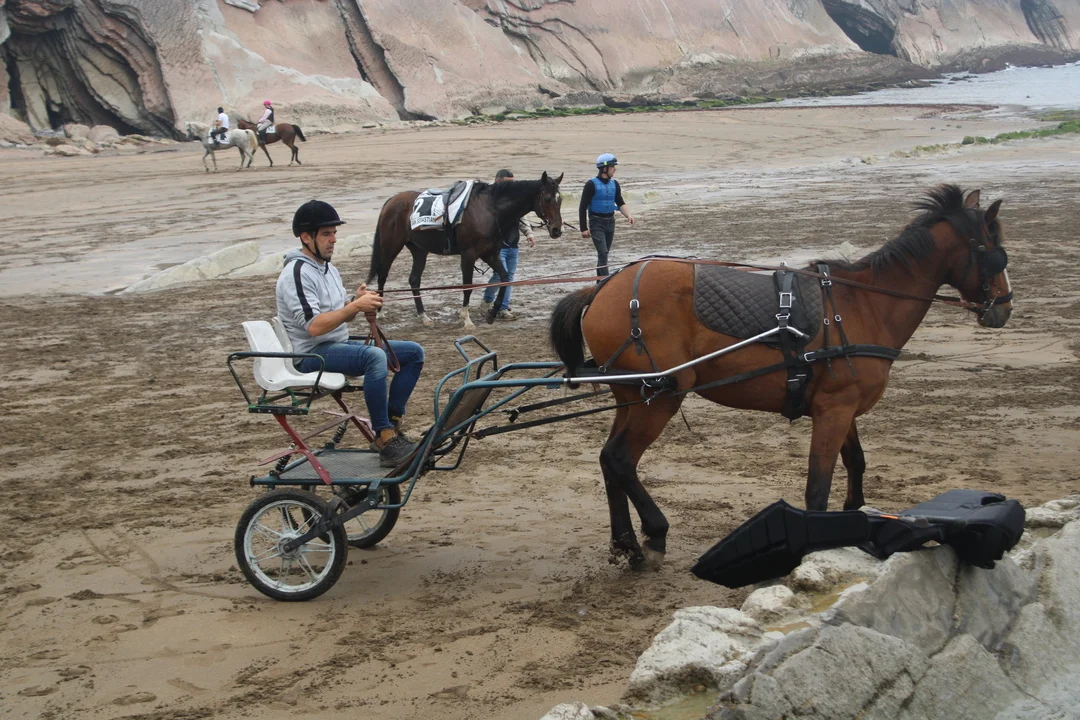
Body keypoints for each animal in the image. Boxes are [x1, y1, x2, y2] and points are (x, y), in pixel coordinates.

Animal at [367, 172, 565, 327]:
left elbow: (504, 278)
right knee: (382, 275)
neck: (488, 209)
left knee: (414, 280)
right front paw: (466, 319)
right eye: (547, 199)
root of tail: (391, 201)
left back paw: (424, 317)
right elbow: (467, 286)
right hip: (390, 247)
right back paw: (380, 311)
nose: (557, 230)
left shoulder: (490, 254)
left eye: (560, 199)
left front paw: (492, 313)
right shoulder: (468, 255)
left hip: (419, 250)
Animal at [549, 185, 1013, 571]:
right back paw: (653, 533)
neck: (862, 304)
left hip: (633, 395)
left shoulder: (841, 407)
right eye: (994, 252)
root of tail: (602, 289)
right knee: (621, 460)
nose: (1005, 306)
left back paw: (625, 542)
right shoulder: (834, 410)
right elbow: (817, 487)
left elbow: (856, 463)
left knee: (608, 460)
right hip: (662, 396)